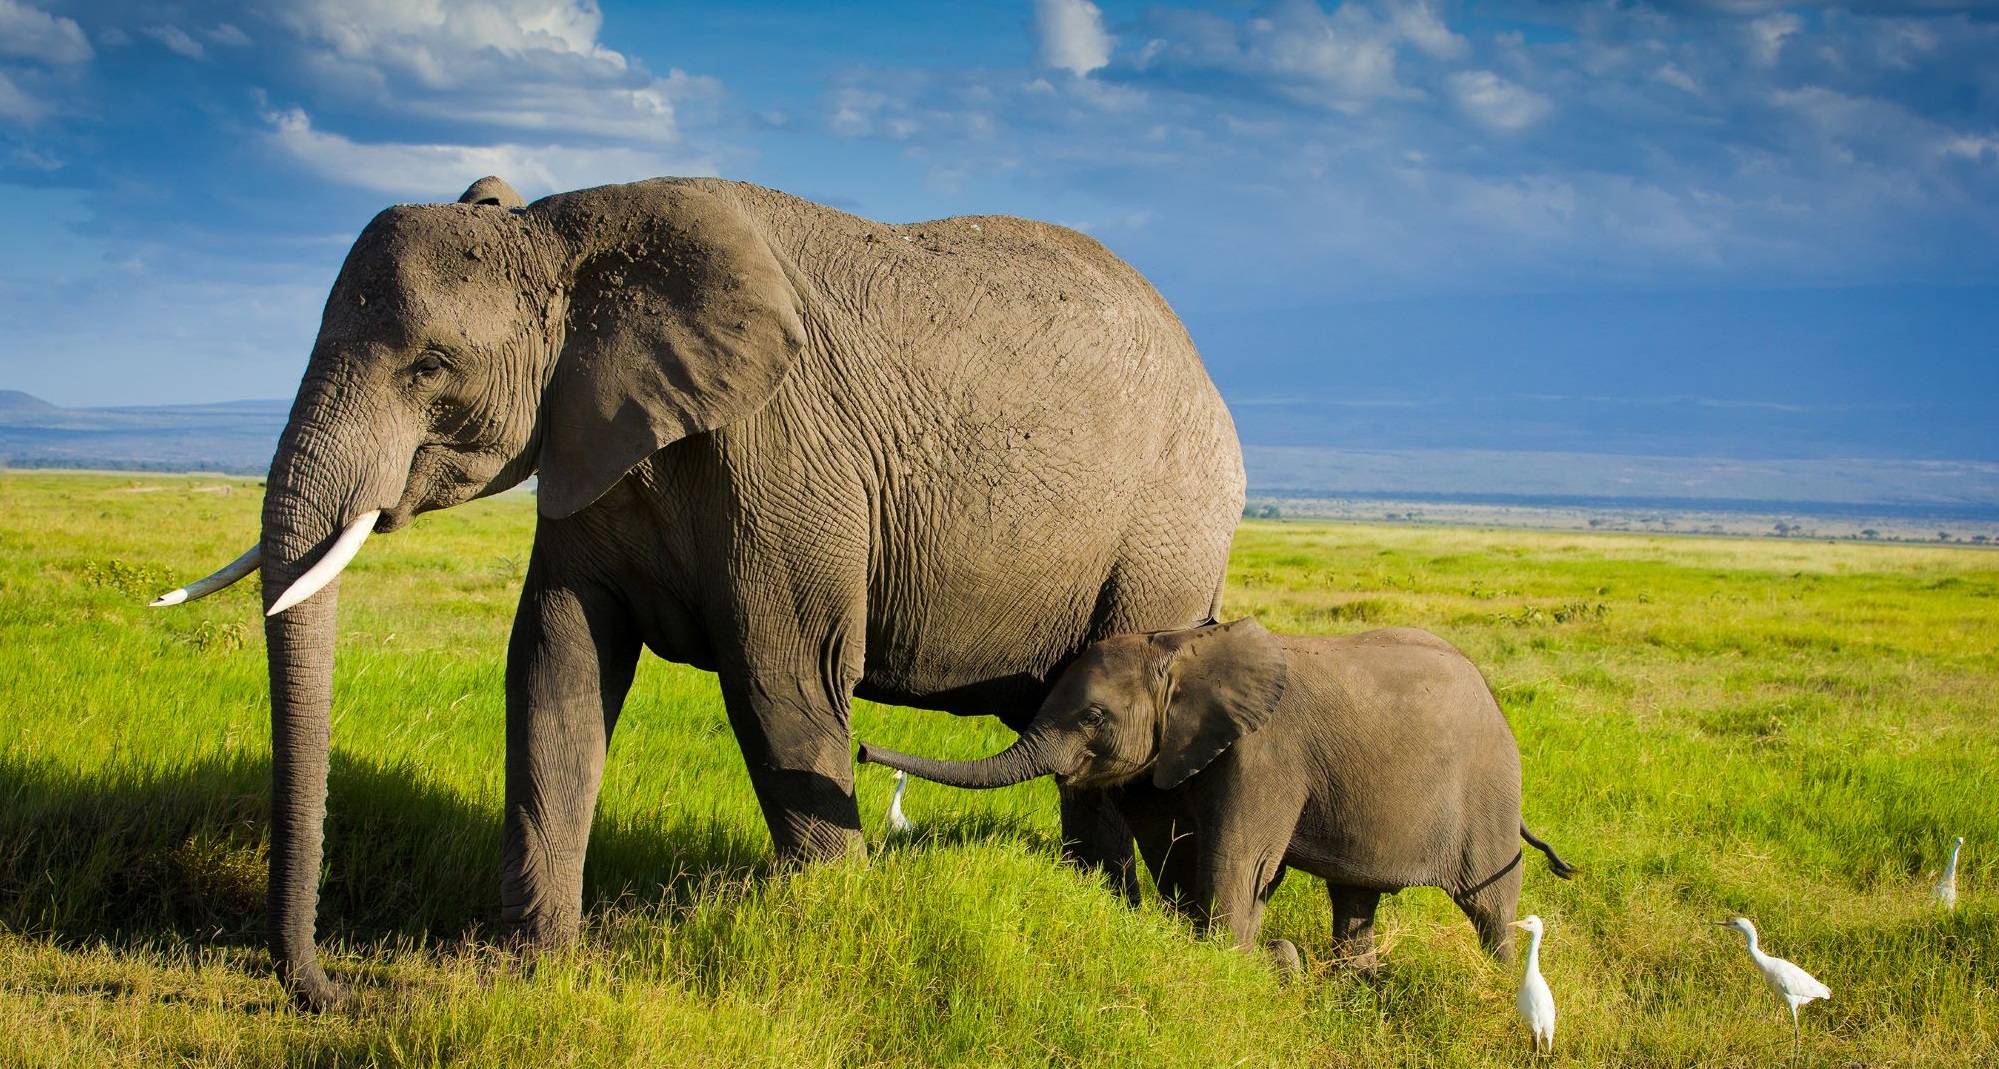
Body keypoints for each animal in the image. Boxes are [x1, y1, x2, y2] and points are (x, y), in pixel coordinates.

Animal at [159, 175, 1247, 1011]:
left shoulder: (783, 448)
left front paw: (831, 936)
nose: (336, 989)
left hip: (1166, 528)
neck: (560, 231)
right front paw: (531, 969)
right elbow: (555, 665)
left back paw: (1123, 923)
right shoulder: (589, 441)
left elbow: (781, 680)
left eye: (431, 366)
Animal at [859, 619, 1575, 971]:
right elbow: (1181, 854)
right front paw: (1251, 958)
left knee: (1489, 906)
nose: (863, 750)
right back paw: (1359, 990)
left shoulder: (1263, 752)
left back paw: (1500, 988)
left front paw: (1238, 964)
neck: (1180, 648)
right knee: (1355, 900)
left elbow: (1237, 862)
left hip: (1490, 793)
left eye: (1092, 716)